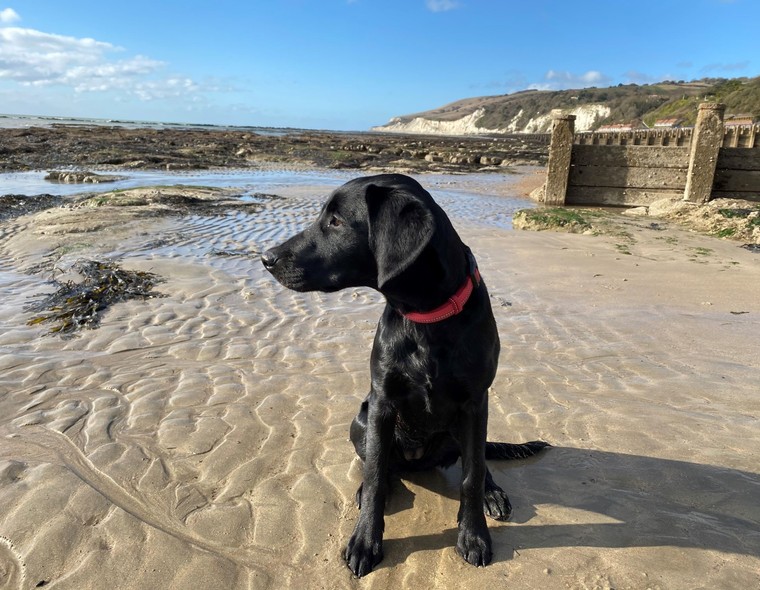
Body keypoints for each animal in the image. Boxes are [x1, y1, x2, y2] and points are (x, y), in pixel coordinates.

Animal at [262, 175, 548, 580]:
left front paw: (474, 535)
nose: (266, 258)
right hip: (361, 419)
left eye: (336, 221)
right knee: (379, 465)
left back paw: (492, 493)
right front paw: (365, 540)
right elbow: (376, 473)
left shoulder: (476, 403)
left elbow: (472, 474)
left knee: (476, 460)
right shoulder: (382, 403)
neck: (424, 316)